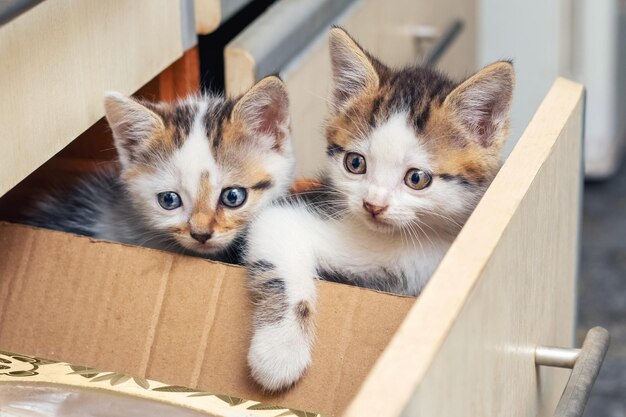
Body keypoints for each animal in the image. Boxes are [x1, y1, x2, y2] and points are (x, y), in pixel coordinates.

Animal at [241, 28, 510, 390]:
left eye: (417, 178)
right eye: (355, 163)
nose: (373, 205)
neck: (406, 243)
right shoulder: (286, 216)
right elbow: (283, 270)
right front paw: (279, 353)